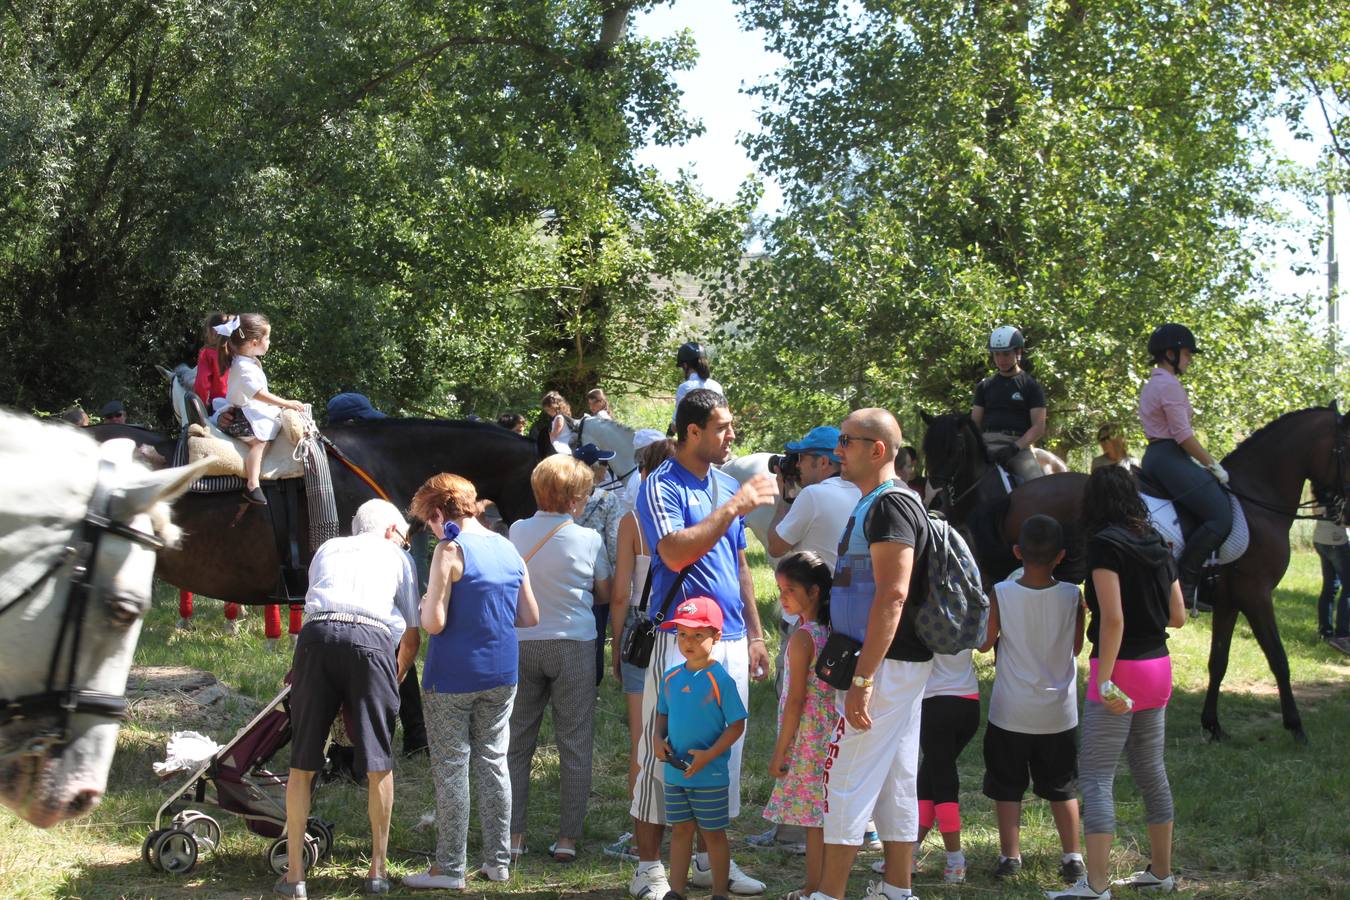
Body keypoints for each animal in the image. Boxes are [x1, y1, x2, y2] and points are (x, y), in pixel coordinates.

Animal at [918, 404, 1350, 744]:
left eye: (952, 448)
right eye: (1345, 449)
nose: (1340, 509)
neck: (1256, 498)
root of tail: (1020, 493)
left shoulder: (1231, 599)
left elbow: (1219, 661)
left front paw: (1212, 725)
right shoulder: (1256, 593)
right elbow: (1278, 658)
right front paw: (1296, 726)